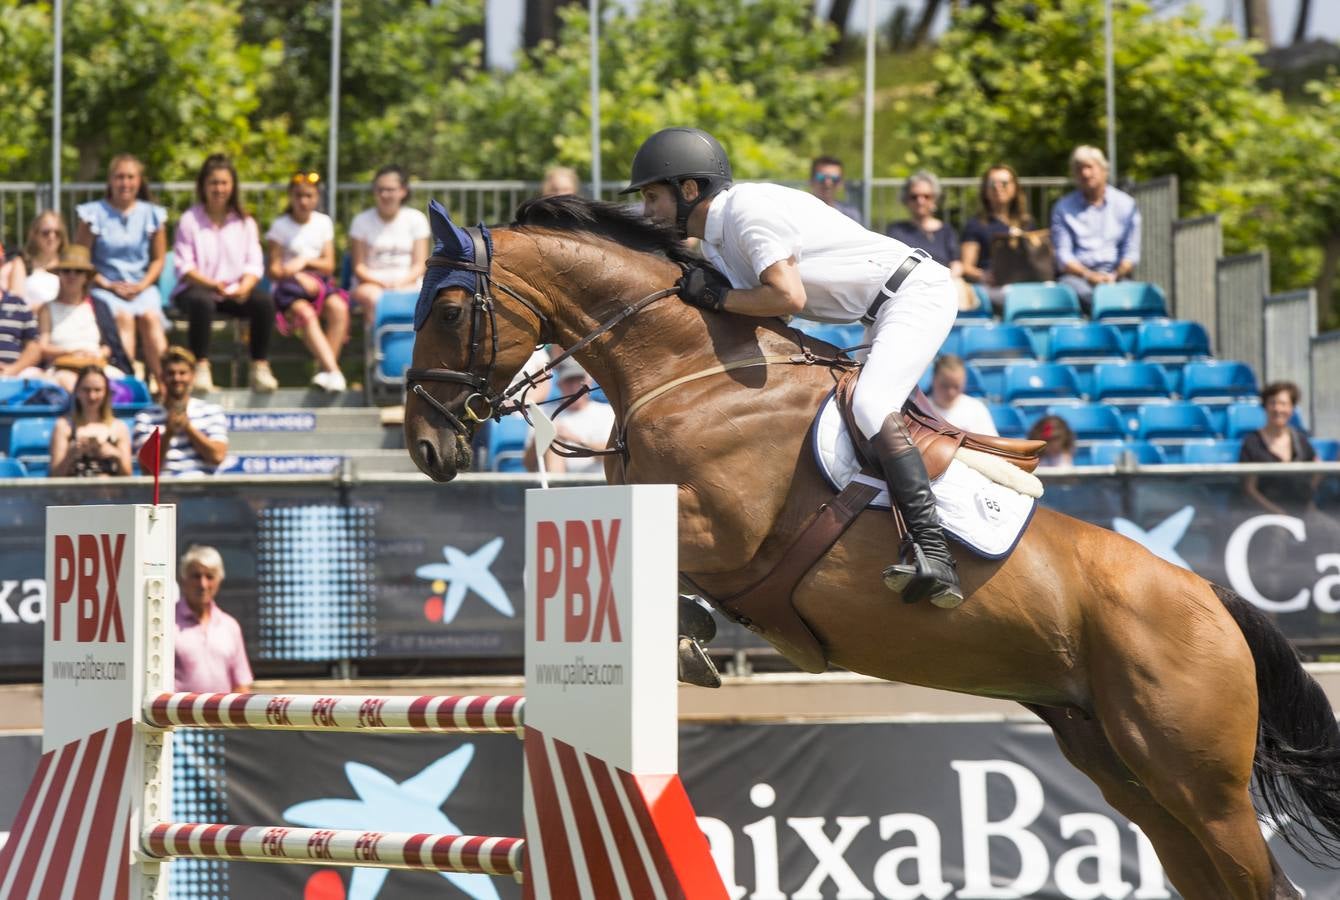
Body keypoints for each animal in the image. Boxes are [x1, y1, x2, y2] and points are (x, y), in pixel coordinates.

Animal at [407, 195, 1340, 894]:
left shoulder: (721, 525)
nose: (425, 446)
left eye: (449, 310)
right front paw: (687, 635)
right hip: (1126, 768)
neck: (690, 370)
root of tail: (1205, 595)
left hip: (1200, 782)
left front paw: (684, 636)